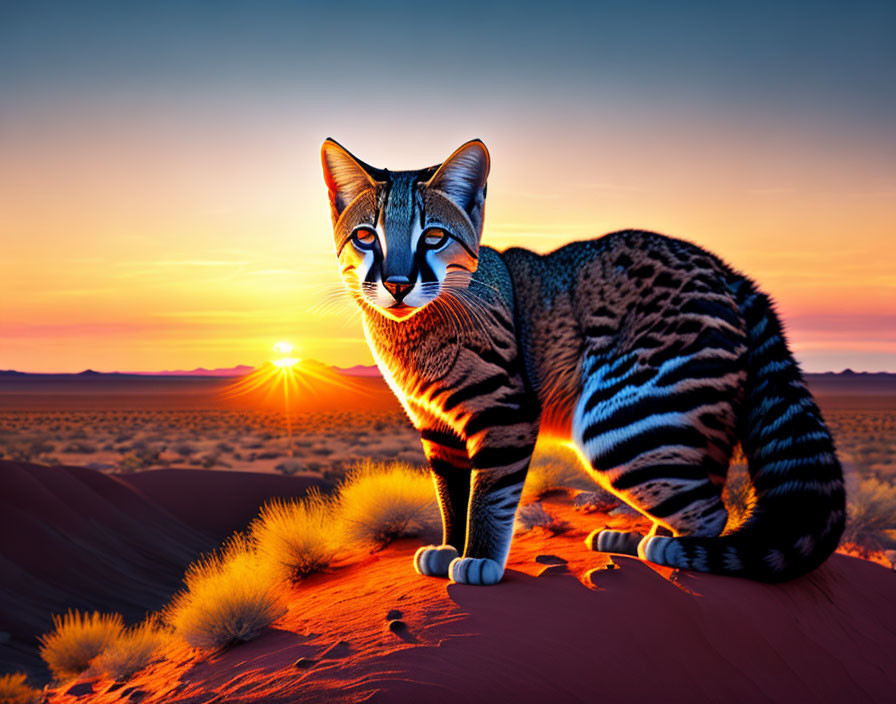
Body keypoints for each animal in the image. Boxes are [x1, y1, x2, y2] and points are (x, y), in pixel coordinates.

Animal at [322, 138, 848, 584]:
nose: (396, 284)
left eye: (432, 237)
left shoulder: (504, 414)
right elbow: (451, 495)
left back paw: (670, 552)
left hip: (624, 420)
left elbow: (489, 496)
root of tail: (718, 263)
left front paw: (478, 560)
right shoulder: (436, 428)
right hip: (683, 424)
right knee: (702, 486)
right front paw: (452, 548)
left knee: (709, 510)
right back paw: (642, 540)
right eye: (365, 237)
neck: (413, 338)